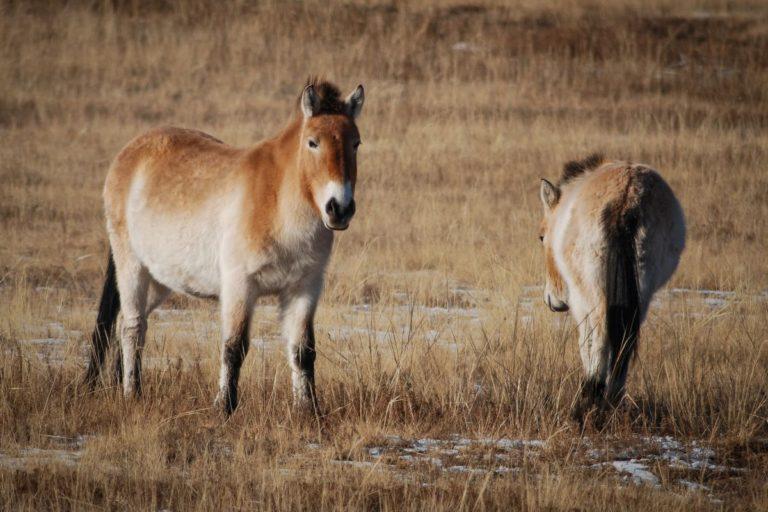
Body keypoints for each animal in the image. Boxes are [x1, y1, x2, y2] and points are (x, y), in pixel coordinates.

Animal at [84, 79, 366, 416]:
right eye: (313, 142)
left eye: (356, 143)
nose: (339, 208)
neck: (277, 201)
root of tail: (129, 152)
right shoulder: (239, 285)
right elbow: (234, 347)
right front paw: (224, 408)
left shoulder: (304, 288)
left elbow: (302, 351)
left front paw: (308, 411)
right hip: (131, 267)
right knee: (132, 328)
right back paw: (132, 394)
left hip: (159, 279)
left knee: (123, 326)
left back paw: (118, 387)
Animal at [540, 154, 684, 418]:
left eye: (542, 237)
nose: (552, 300)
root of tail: (626, 198)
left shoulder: (580, 302)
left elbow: (585, 345)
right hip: (642, 293)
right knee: (624, 345)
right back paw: (612, 402)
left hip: (593, 295)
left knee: (599, 341)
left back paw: (589, 403)